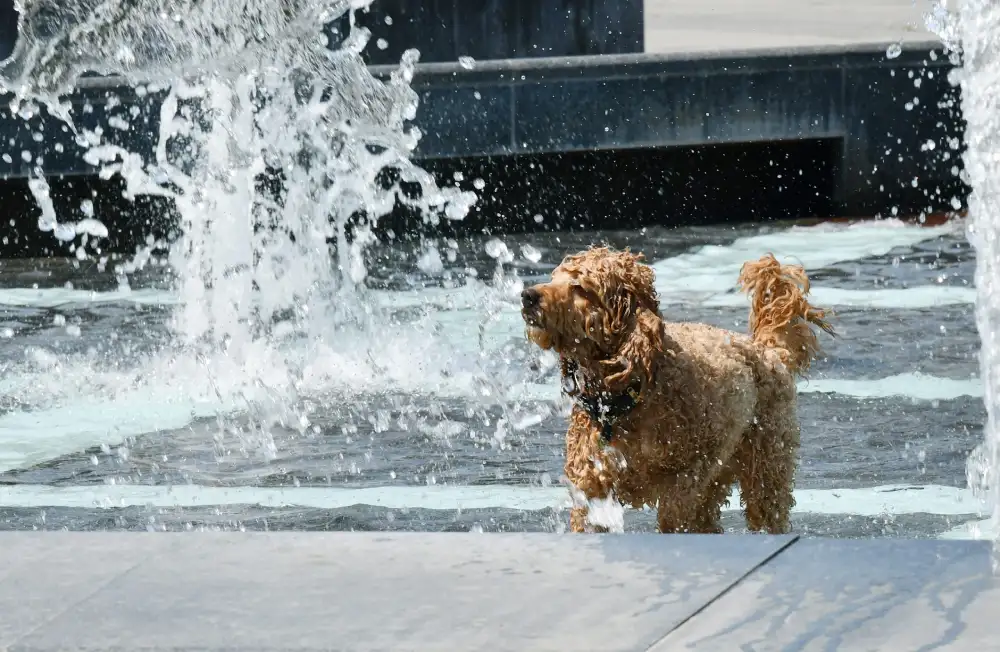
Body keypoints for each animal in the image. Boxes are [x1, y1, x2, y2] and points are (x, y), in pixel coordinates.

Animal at [520, 247, 832, 532]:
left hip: (766, 466)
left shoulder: (683, 482)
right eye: (554, 278)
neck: (629, 394)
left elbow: (674, 517)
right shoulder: (593, 486)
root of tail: (768, 351)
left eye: (580, 287)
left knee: (766, 508)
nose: (527, 295)